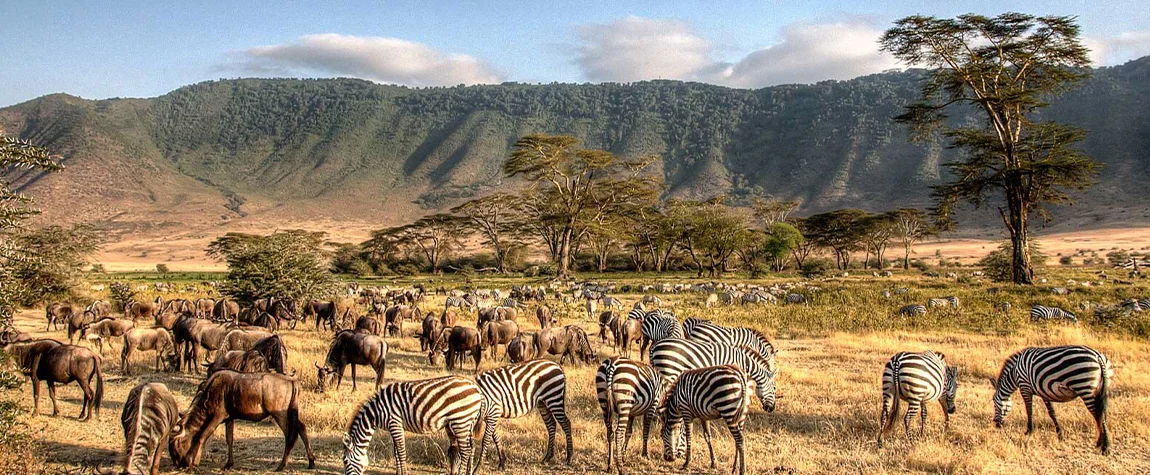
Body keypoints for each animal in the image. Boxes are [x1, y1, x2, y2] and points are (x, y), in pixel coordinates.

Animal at [340, 374, 485, 473]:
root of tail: (476, 388)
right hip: (467, 422)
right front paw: (398, 473)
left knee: (465, 451)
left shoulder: (395, 423)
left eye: (345, 461)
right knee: (471, 447)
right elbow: (396, 453)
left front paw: (403, 473)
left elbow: (401, 453)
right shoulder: (396, 427)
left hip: (460, 421)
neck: (376, 412)